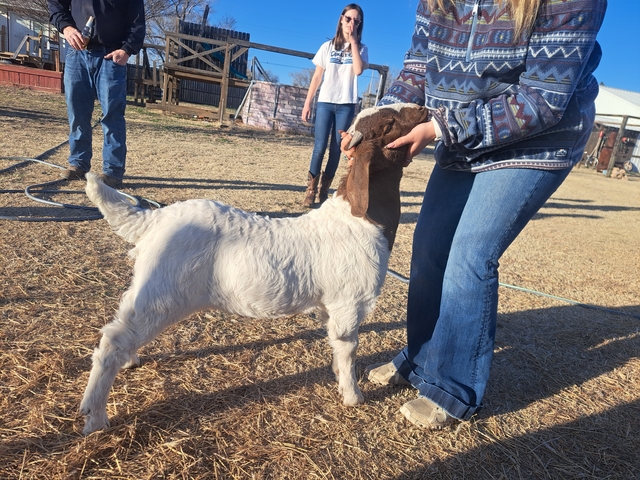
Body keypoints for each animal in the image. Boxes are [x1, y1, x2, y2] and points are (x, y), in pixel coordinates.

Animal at [79, 103, 430, 435]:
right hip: (163, 291)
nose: (423, 109)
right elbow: (347, 348)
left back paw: (128, 362)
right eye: (389, 124)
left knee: (125, 327)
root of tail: (155, 219)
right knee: (113, 341)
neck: (360, 218)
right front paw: (353, 395)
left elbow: (334, 343)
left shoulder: (330, 305)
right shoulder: (349, 303)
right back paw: (95, 416)